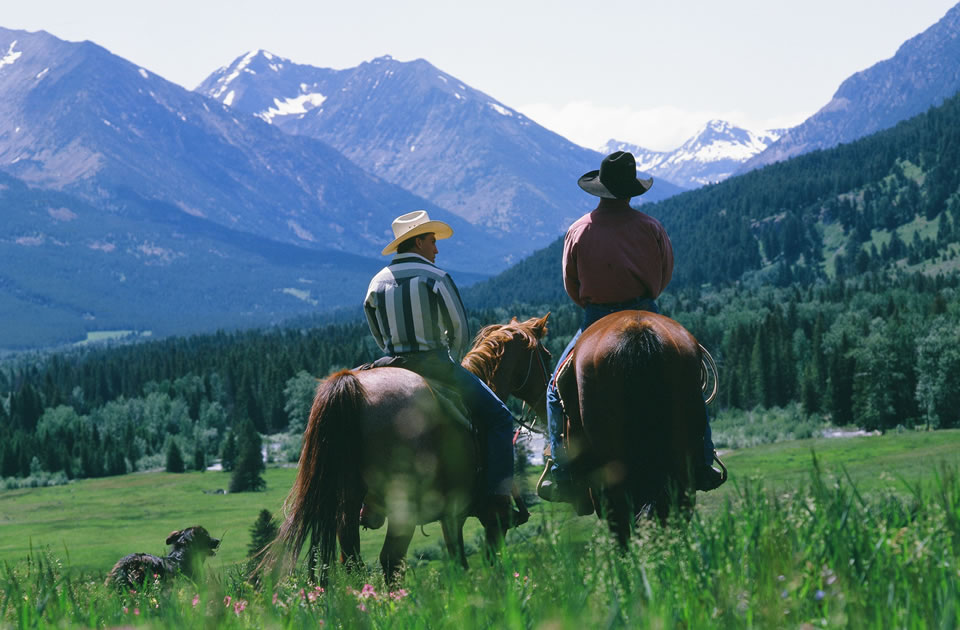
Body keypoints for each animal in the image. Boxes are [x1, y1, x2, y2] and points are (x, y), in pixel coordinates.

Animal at [264, 314, 548, 584]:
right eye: (546, 355)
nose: (547, 404)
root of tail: (350, 384)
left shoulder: (451, 516)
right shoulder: (483, 518)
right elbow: (480, 559)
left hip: (349, 502)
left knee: (353, 560)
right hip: (403, 509)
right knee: (391, 560)